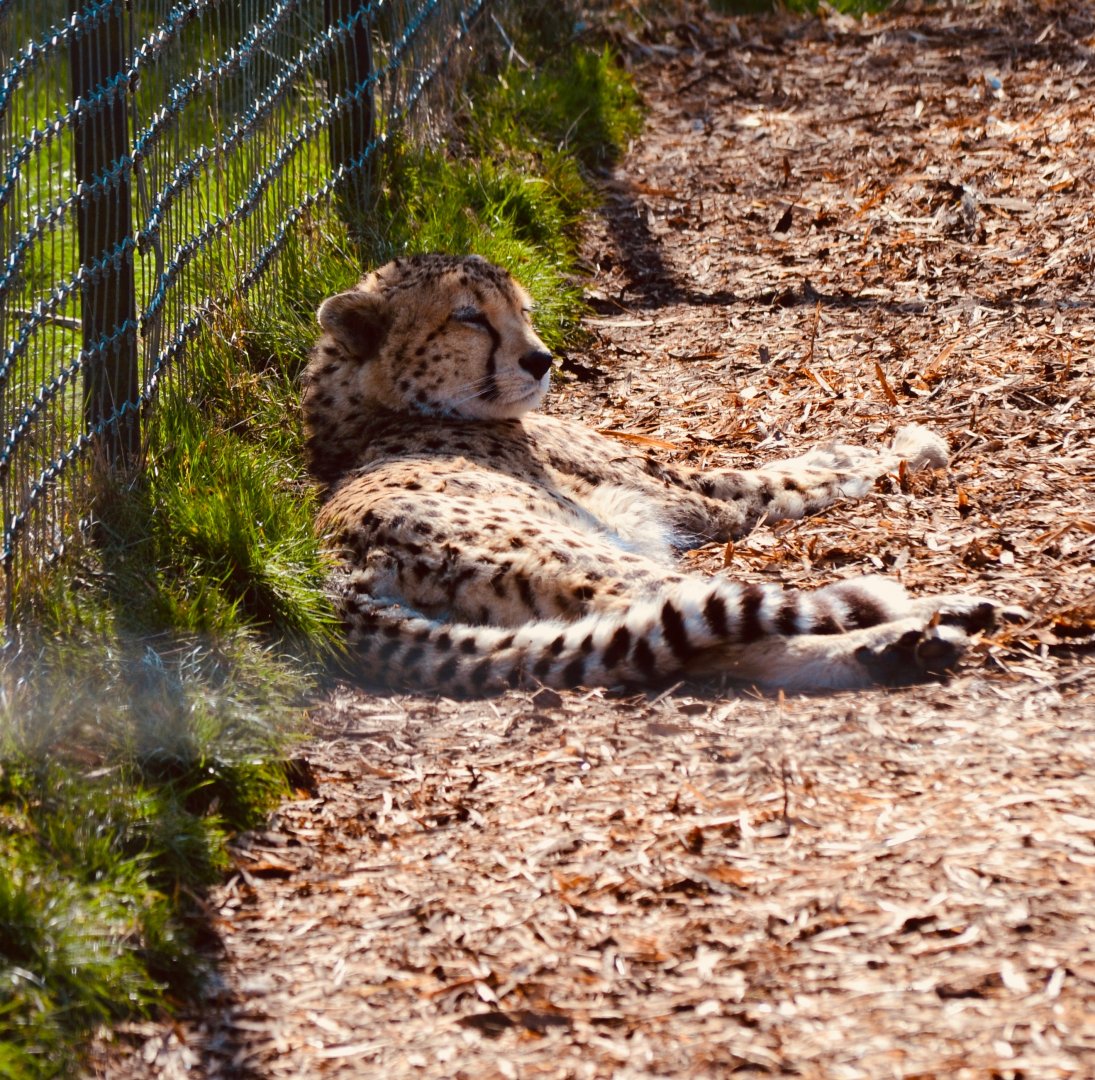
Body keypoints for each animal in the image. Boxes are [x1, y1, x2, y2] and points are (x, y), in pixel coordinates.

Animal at [302, 252, 1015, 695]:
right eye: (468, 315)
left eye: (523, 311)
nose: (541, 360)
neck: (368, 412)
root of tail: (337, 576)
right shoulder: (697, 496)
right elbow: (789, 475)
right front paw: (908, 444)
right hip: (587, 557)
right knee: (728, 617)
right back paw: (914, 617)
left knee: (698, 644)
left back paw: (894, 648)